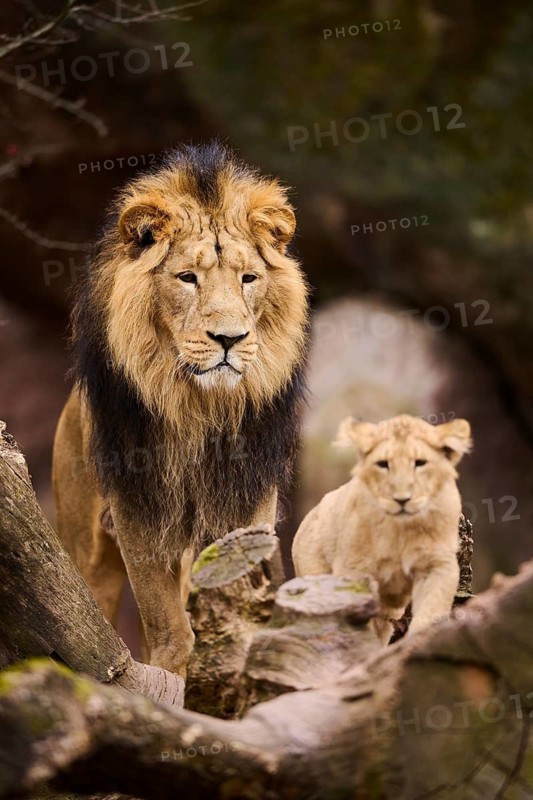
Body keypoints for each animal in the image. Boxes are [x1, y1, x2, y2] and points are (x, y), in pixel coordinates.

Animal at [52, 142, 309, 676]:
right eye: (188, 278)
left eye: (248, 279)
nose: (230, 338)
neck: (198, 404)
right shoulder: (136, 506)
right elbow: (166, 621)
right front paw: (171, 673)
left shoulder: (248, 498)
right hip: (85, 543)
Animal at [292, 414, 472, 644]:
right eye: (383, 464)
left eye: (420, 463)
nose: (402, 499)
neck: (401, 529)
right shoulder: (354, 571)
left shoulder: (437, 565)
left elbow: (430, 610)